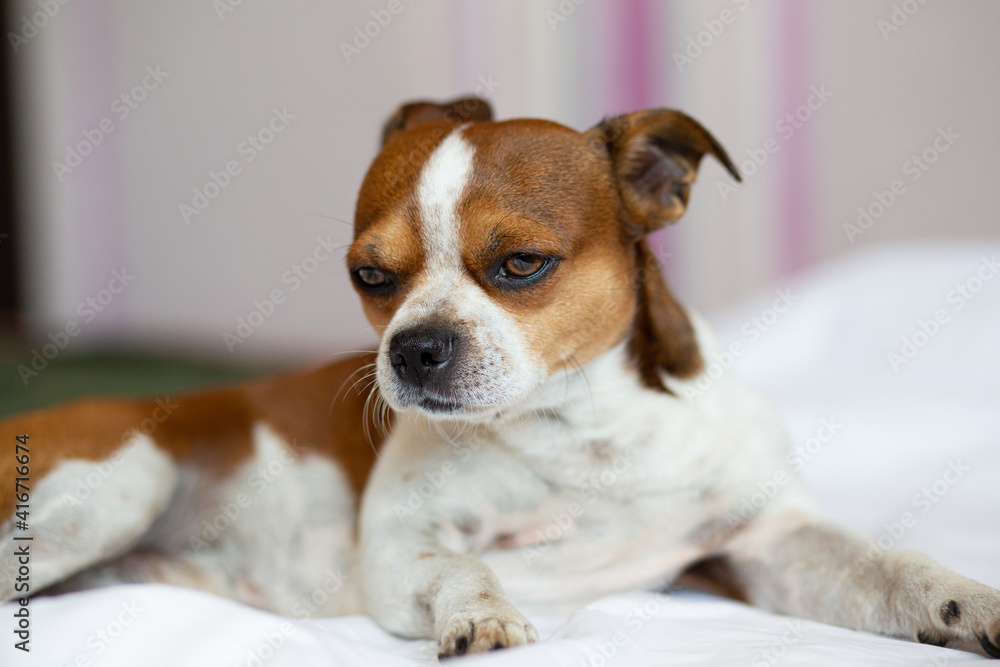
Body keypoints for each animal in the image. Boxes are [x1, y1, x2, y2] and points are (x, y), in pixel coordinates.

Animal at [1, 96, 1000, 660]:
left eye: (521, 263)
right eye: (370, 275)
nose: (414, 348)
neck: (589, 434)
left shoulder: (767, 543)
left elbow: (892, 566)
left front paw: (967, 601)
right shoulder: (399, 548)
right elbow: (465, 564)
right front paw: (482, 615)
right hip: (117, 485)